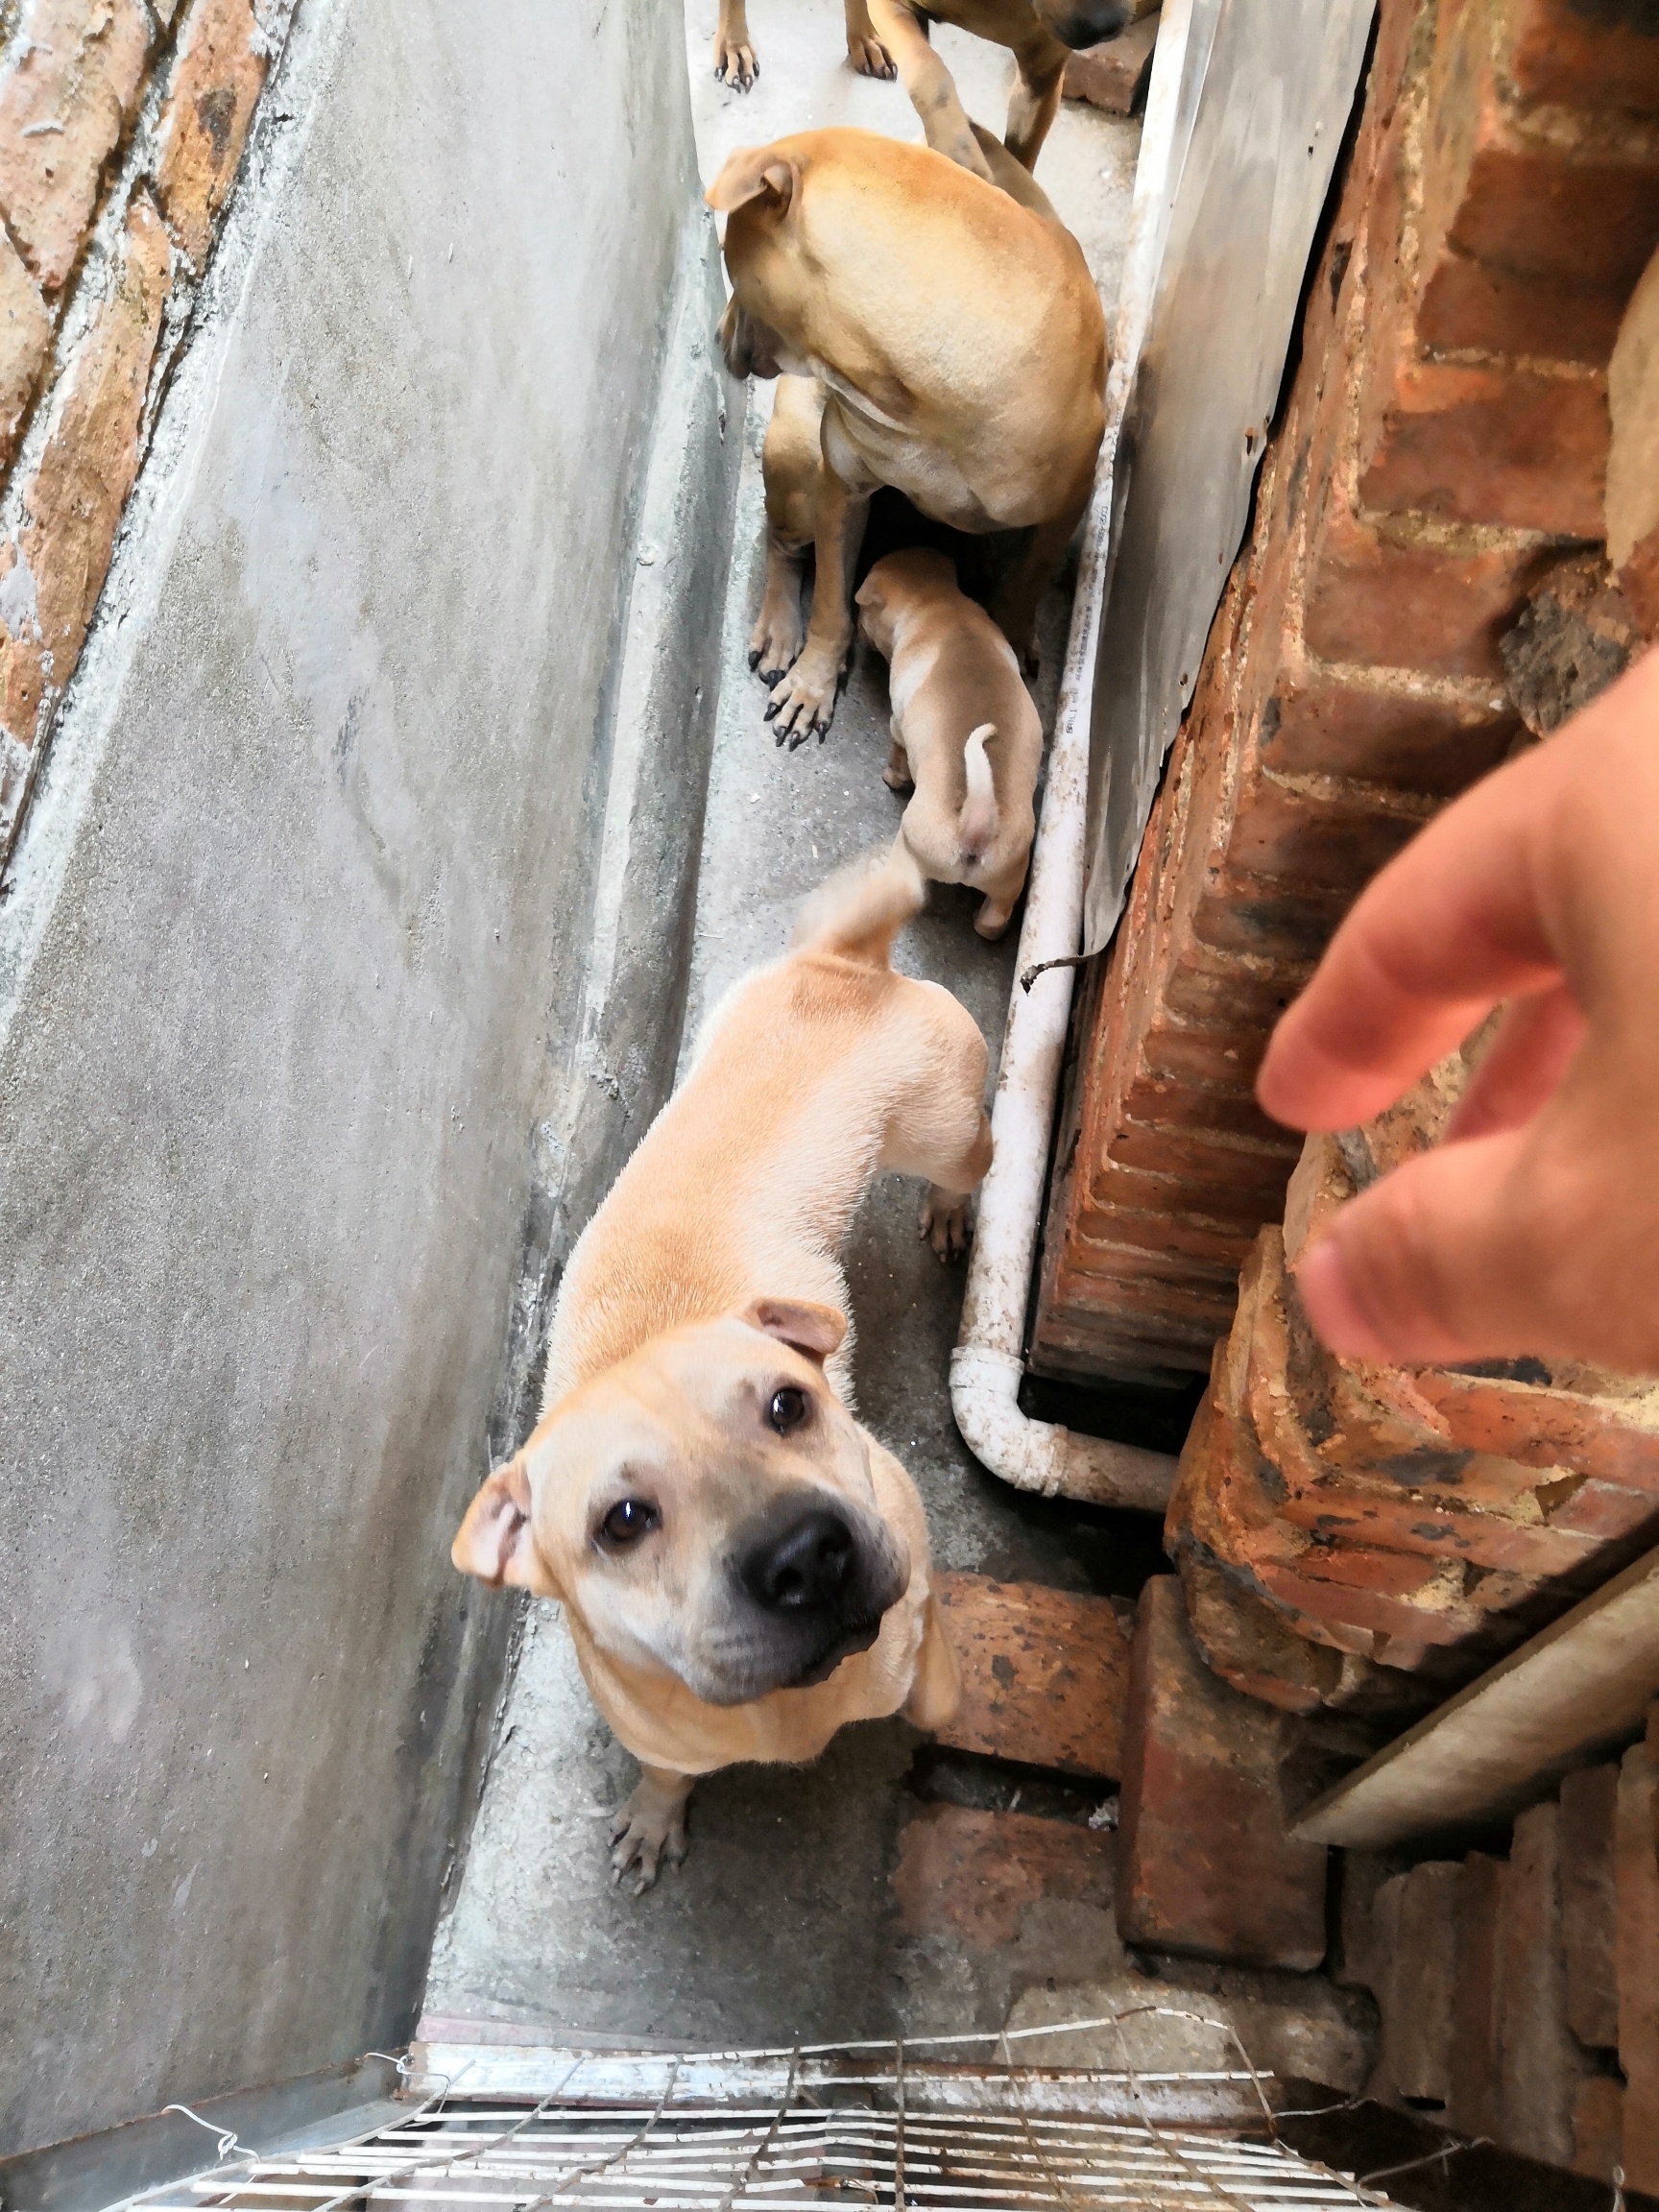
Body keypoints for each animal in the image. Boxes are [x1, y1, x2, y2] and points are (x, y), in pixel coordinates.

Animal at [448, 840, 986, 1885]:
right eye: (621, 1522)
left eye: (789, 1407)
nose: (807, 1557)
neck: (793, 1705)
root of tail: (846, 966)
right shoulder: (658, 1735)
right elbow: (666, 1776)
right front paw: (655, 1820)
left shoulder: (919, 1603)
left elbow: (935, 1677)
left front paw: (941, 1709)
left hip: (949, 1133)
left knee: (968, 1170)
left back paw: (949, 1213)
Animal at [711, 129, 1110, 743]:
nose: (716, 334)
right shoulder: (840, 486)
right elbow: (830, 602)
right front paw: (813, 682)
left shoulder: (1069, 500)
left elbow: (1029, 580)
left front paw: (1013, 634)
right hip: (795, 459)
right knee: (783, 547)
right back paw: (779, 629)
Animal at [857, 553, 1039, 942]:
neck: (936, 601)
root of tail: (976, 823)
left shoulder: (897, 723)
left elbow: (897, 753)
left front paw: (892, 776)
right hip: (1009, 876)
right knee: (993, 920)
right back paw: (985, 925)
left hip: (912, 843)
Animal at [871, 0, 1159, 177]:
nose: (1107, 27)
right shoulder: (891, 6)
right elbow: (927, 67)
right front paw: (958, 153)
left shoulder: (1040, 81)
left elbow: (1022, 154)